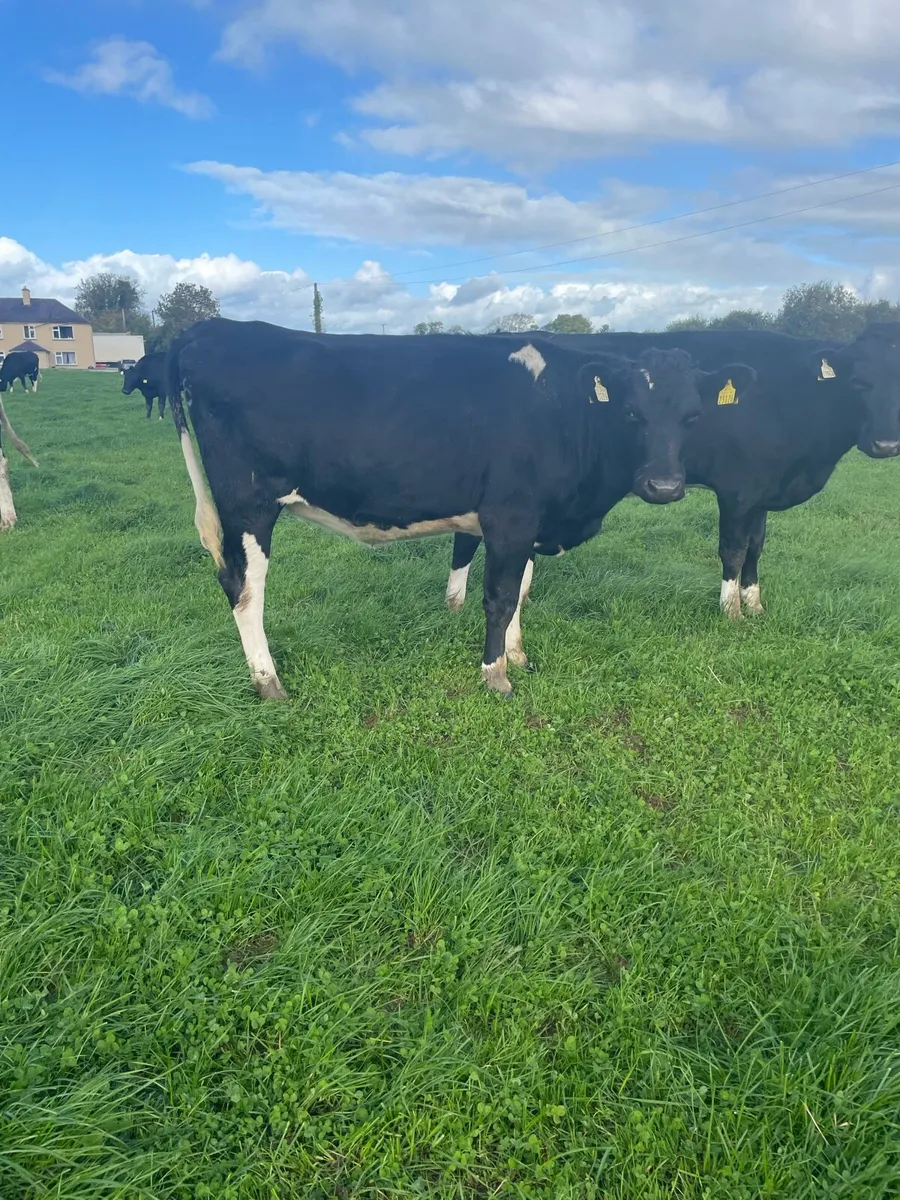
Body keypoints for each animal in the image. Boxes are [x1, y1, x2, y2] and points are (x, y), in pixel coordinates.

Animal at [164, 319, 754, 699]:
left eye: (693, 416)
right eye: (632, 413)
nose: (664, 486)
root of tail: (211, 328)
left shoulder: (529, 520)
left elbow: (520, 591)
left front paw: (519, 656)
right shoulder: (510, 517)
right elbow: (499, 598)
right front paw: (497, 676)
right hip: (247, 504)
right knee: (244, 590)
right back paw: (269, 683)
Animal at [445, 324, 900, 620]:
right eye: (859, 383)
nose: (886, 445)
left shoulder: (762, 489)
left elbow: (757, 547)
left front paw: (755, 604)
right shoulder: (737, 489)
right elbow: (733, 549)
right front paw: (731, 613)